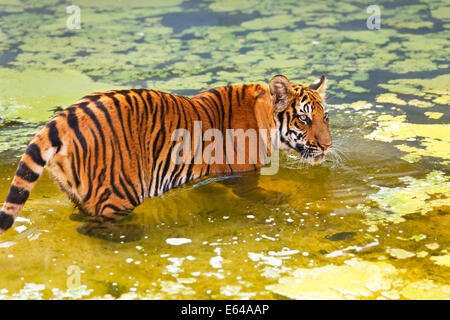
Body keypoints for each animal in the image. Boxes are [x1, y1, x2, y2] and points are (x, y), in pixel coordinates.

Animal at [0, 74, 330, 240]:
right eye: (303, 119)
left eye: (324, 117)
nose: (327, 146)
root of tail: (62, 118)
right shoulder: (242, 174)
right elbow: (254, 193)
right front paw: (277, 198)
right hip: (121, 192)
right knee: (93, 227)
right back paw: (134, 233)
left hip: (77, 191)